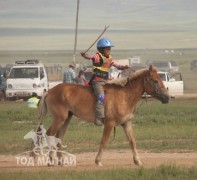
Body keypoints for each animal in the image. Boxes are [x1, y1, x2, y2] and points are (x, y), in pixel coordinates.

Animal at [38, 65, 169, 167]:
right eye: (155, 81)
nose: (167, 97)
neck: (124, 95)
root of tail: (49, 91)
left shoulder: (126, 123)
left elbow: (132, 142)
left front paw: (138, 161)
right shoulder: (109, 124)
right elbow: (104, 141)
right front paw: (98, 161)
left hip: (66, 119)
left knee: (59, 137)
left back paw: (60, 161)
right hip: (59, 119)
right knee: (49, 134)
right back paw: (50, 161)